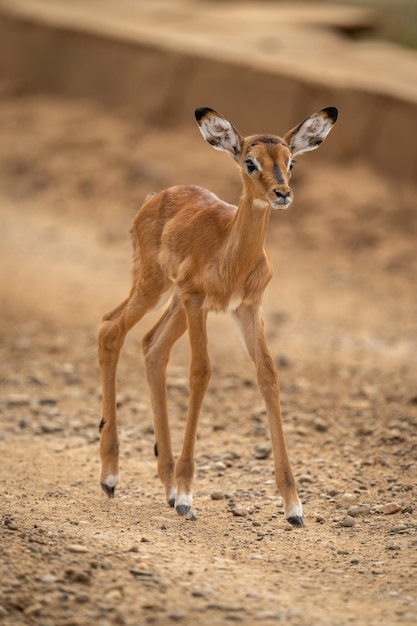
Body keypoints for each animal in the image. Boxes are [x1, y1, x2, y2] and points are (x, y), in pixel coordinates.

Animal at [98, 105, 338, 524]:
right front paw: (187, 496)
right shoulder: (199, 303)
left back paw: (166, 483)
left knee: (152, 346)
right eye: (250, 162)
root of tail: (154, 198)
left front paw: (293, 506)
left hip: (174, 303)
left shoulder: (247, 310)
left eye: (290, 161)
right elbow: (201, 372)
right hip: (155, 288)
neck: (231, 253)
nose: (282, 194)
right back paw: (113, 477)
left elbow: (268, 376)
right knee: (112, 330)